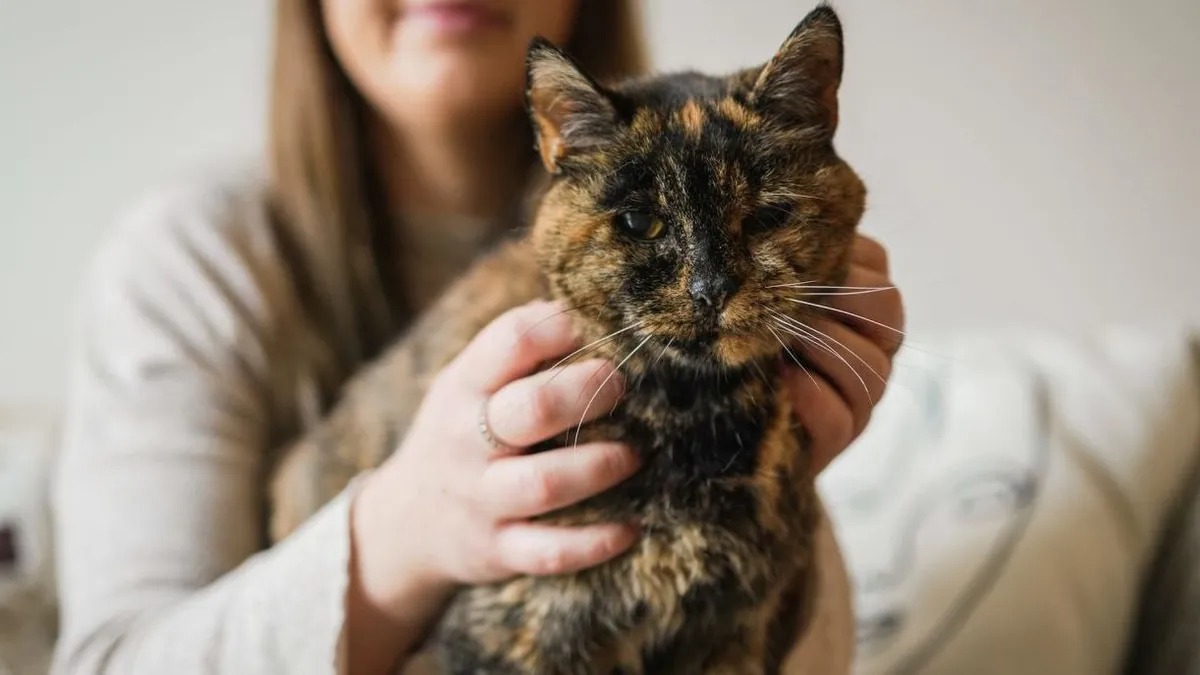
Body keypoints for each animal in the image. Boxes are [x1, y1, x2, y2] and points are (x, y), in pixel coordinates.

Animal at [270, 6, 864, 672]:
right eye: (640, 221)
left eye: (765, 217)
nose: (711, 288)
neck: (697, 419)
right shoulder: (515, 630)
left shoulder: (735, 631)